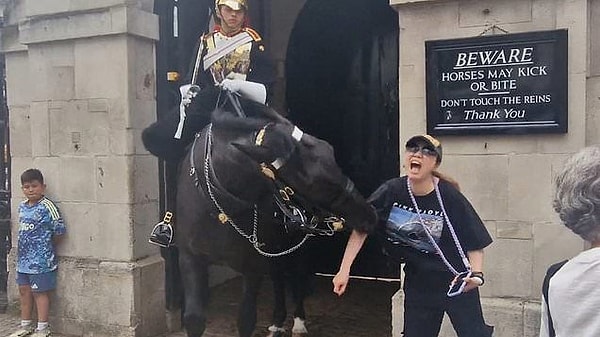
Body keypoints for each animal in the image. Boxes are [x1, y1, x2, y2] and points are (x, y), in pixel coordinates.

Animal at [142, 88, 376, 334]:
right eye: (311, 182)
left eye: (330, 151)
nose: (370, 216)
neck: (222, 206)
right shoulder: (191, 257)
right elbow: (194, 318)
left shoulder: (252, 266)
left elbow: (246, 319)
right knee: (278, 276)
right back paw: (277, 321)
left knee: (296, 275)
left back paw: (298, 321)